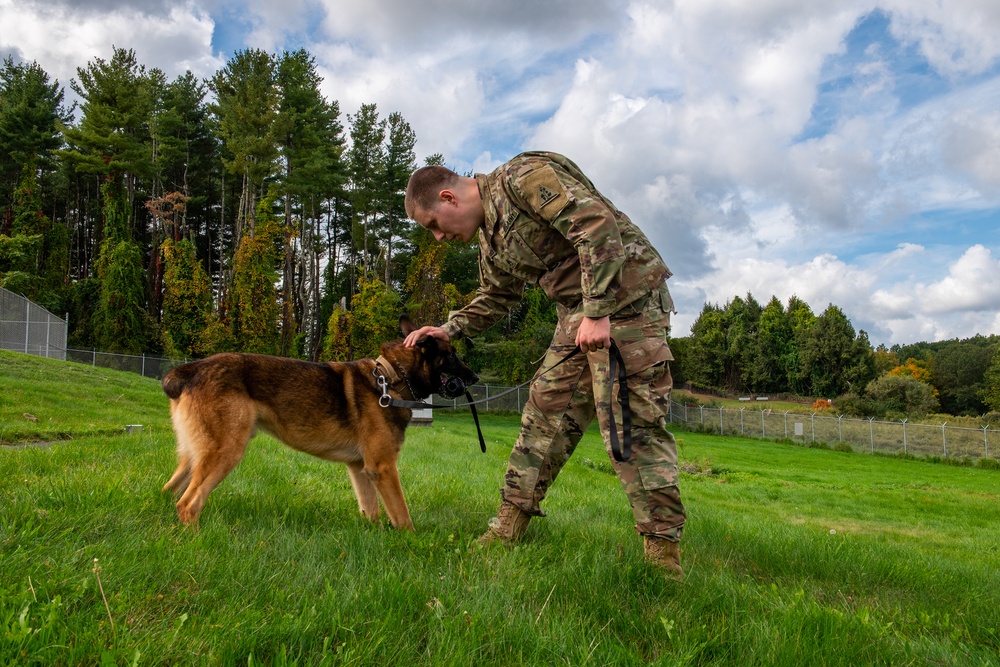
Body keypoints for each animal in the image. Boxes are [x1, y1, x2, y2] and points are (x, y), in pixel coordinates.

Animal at [161, 318, 480, 532]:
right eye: (451, 355)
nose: (475, 376)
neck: (390, 378)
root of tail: (191, 369)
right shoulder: (385, 468)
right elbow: (402, 516)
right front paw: (410, 542)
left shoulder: (361, 469)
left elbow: (372, 512)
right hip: (226, 452)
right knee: (188, 503)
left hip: (196, 456)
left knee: (170, 492)